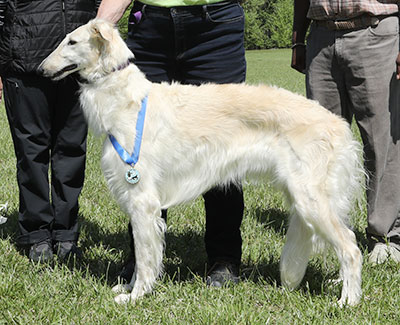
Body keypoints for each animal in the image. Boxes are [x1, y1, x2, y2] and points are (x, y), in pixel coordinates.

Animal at [39, 19, 366, 306]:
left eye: (72, 41)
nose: (41, 70)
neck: (125, 98)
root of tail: (338, 124)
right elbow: (143, 254)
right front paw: (130, 287)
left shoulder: (142, 198)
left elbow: (144, 258)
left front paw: (135, 297)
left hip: (311, 200)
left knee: (351, 247)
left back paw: (347, 301)